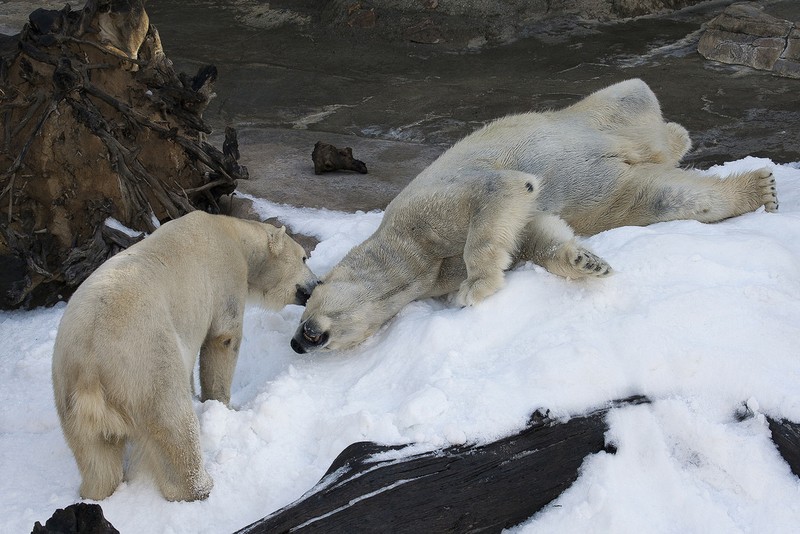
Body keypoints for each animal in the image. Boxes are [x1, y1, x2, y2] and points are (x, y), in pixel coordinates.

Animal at [52, 211, 319, 501]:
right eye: (304, 258)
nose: (316, 284)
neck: (233, 233)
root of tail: (90, 368)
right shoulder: (225, 275)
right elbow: (223, 338)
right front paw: (224, 405)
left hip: (67, 393)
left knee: (95, 455)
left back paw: (95, 491)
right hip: (146, 361)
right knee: (173, 422)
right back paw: (201, 485)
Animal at [290, 78, 778, 354]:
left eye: (305, 313)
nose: (297, 343)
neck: (412, 258)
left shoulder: (423, 212)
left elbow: (499, 191)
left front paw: (473, 290)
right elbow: (533, 232)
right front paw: (585, 262)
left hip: (601, 111)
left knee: (641, 109)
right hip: (612, 187)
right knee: (661, 195)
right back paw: (754, 189)